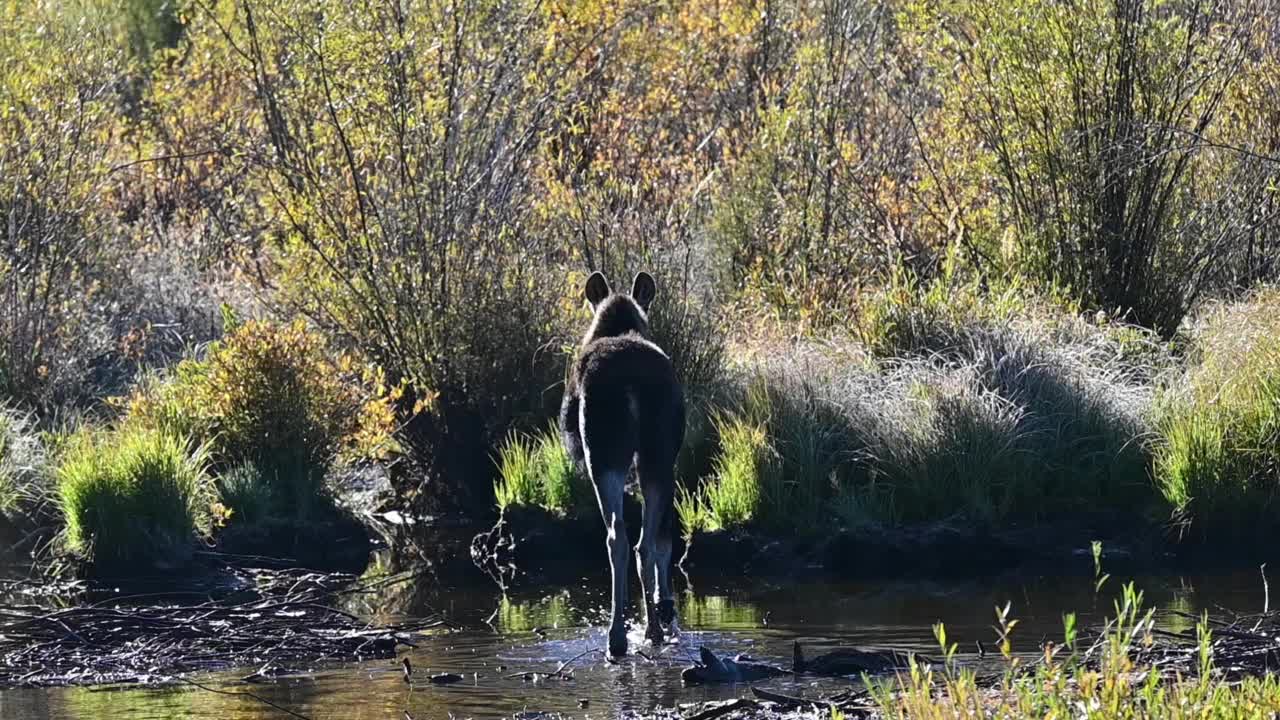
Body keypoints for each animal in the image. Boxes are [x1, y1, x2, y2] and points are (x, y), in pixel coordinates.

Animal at [558, 269, 686, 655]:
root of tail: (631, 382)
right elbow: (665, 537)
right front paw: (664, 606)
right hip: (649, 456)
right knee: (637, 540)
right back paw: (644, 629)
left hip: (606, 455)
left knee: (625, 537)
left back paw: (630, 632)